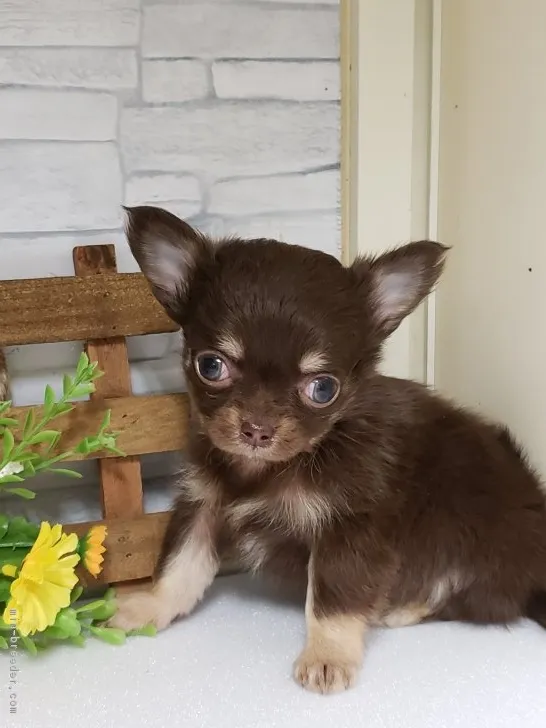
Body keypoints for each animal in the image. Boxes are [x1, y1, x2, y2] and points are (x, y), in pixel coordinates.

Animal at [110, 205, 544, 692]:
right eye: (211, 366)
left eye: (323, 389)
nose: (256, 430)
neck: (270, 469)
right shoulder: (204, 503)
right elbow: (179, 566)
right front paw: (148, 607)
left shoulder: (350, 527)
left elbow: (333, 599)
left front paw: (327, 656)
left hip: (466, 537)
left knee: (468, 596)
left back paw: (399, 608)